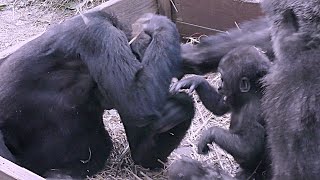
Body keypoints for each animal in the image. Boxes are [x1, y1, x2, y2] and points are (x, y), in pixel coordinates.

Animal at [171, 46, 272, 179]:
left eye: (223, 79)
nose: (219, 86)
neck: (250, 96)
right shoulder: (230, 98)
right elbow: (218, 106)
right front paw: (194, 80)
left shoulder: (254, 112)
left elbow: (248, 147)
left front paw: (209, 133)